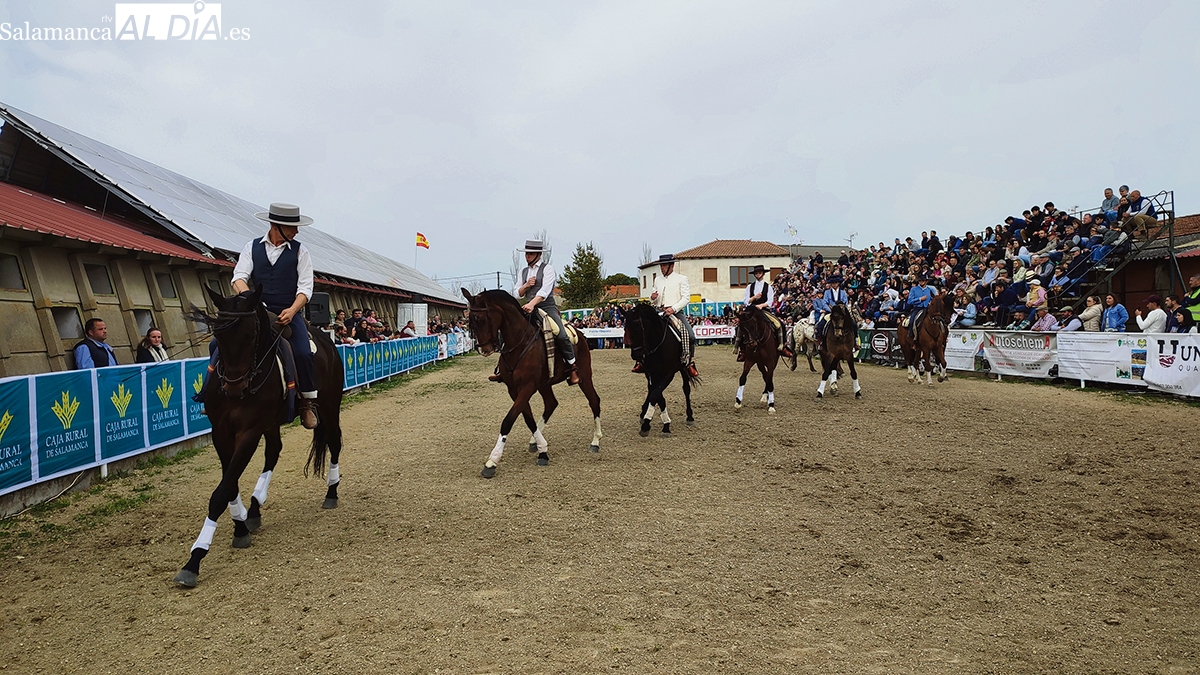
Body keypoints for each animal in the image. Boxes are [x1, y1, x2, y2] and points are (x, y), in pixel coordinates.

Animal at [174, 285, 344, 587]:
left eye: (251, 335)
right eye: (218, 336)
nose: (234, 388)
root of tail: (327, 341)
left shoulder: (249, 432)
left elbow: (221, 491)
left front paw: (195, 559)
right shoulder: (221, 433)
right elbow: (229, 483)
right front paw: (240, 525)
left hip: (329, 405)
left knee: (334, 442)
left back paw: (331, 492)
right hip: (272, 423)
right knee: (274, 451)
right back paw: (254, 509)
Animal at [462, 289, 602, 479]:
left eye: (481, 319)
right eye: (470, 321)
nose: (484, 349)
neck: (519, 342)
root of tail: (579, 333)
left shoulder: (527, 387)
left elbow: (508, 420)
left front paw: (492, 461)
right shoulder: (514, 390)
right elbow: (528, 419)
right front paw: (542, 449)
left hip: (585, 377)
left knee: (594, 401)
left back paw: (595, 442)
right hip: (544, 384)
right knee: (551, 404)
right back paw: (535, 441)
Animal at [623, 303, 697, 436]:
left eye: (639, 328)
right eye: (625, 330)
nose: (635, 355)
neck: (658, 344)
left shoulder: (668, 374)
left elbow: (655, 395)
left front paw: (652, 424)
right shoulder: (652, 373)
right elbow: (658, 396)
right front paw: (655, 422)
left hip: (683, 369)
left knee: (686, 389)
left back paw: (690, 417)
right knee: (651, 390)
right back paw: (643, 412)